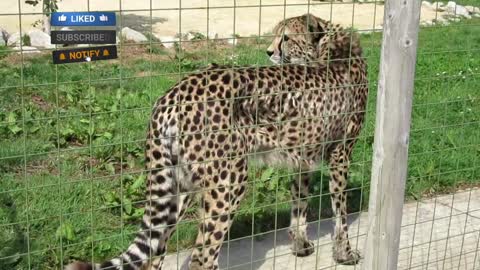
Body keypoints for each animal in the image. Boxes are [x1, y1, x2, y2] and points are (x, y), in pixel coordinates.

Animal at [66, 13, 368, 270]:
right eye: (277, 36)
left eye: (286, 38)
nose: (269, 52)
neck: (327, 49)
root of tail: (174, 92)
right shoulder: (341, 154)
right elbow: (340, 214)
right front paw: (344, 253)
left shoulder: (303, 157)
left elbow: (300, 203)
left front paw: (301, 245)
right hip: (228, 184)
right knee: (201, 257)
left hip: (178, 185)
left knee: (155, 253)